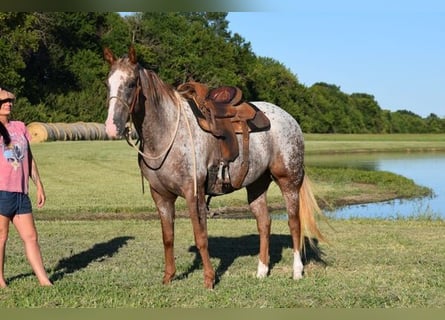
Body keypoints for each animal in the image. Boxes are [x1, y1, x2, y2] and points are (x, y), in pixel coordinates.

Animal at [103, 45, 324, 288]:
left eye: (132, 83)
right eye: (107, 83)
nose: (111, 127)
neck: (168, 133)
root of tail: (290, 119)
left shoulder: (193, 193)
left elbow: (201, 237)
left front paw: (209, 279)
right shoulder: (161, 196)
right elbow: (168, 237)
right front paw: (169, 277)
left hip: (289, 181)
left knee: (294, 222)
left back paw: (297, 271)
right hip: (257, 184)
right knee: (264, 222)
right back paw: (261, 271)